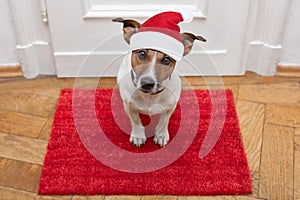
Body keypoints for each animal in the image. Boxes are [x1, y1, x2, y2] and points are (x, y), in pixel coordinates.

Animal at [112, 11, 206, 148]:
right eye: (142, 53)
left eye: (166, 60)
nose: (147, 83)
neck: (150, 96)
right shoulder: (130, 106)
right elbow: (136, 120)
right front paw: (138, 135)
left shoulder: (170, 107)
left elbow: (164, 121)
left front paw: (161, 135)